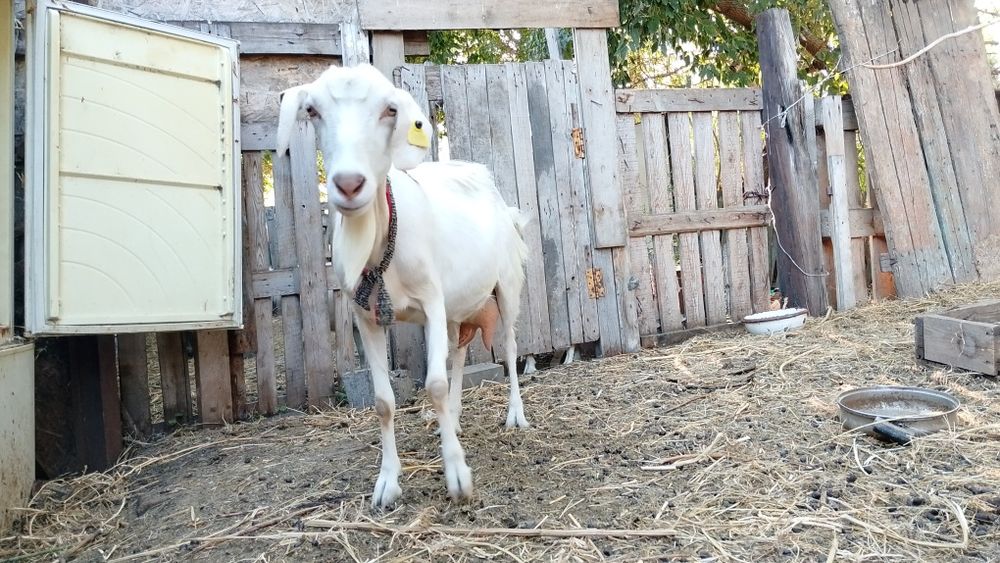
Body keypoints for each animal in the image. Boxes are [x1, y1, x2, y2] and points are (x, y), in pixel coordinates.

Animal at [277, 64, 530, 508]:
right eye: (313, 110)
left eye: (389, 110)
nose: (348, 184)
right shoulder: (367, 317)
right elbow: (384, 402)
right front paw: (388, 482)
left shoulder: (430, 300)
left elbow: (434, 384)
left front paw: (457, 477)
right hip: (456, 304)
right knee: (459, 352)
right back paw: (455, 420)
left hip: (507, 284)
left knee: (511, 346)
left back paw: (515, 415)